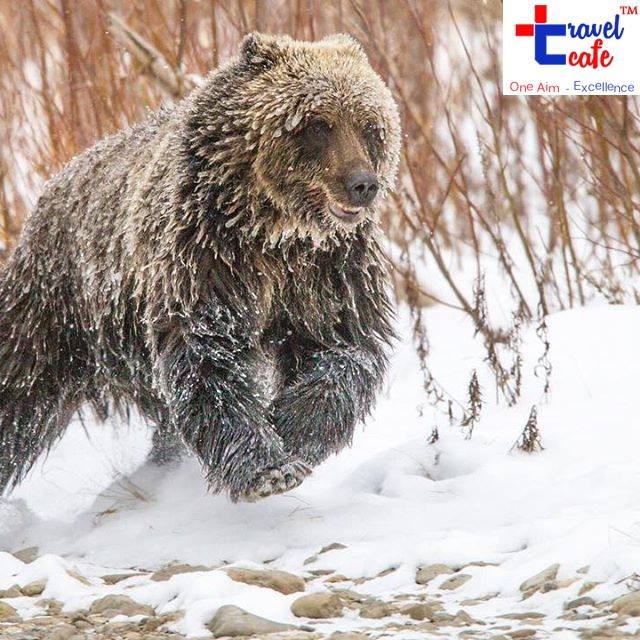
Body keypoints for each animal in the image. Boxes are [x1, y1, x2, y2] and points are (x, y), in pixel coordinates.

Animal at [0, 33, 401, 502]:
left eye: (370, 125)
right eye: (317, 124)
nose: (362, 184)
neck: (275, 229)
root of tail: (52, 185)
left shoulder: (326, 274)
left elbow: (344, 351)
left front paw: (290, 429)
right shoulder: (207, 260)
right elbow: (207, 360)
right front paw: (266, 468)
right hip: (55, 308)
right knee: (20, 388)